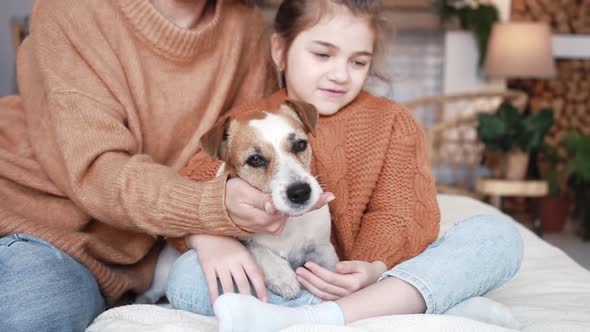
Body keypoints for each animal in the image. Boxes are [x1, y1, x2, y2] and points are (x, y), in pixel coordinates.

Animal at [138, 99, 338, 304]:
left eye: (300, 145)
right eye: (255, 159)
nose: (300, 192)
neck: (288, 224)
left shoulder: (324, 250)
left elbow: (332, 269)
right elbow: (256, 248)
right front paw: (280, 274)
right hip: (161, 277)